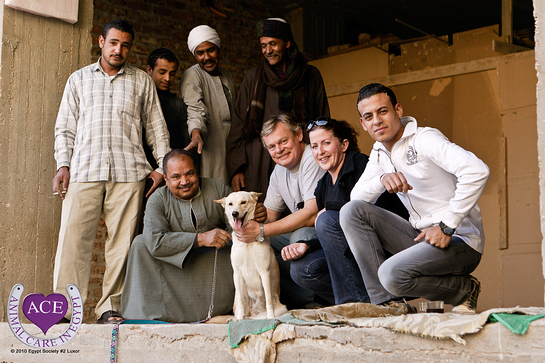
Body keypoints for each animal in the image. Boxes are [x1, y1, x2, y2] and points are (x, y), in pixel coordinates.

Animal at [215, 192, 286, 320]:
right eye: (230, 204)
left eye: (243, 202)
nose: (234, 213)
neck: (247, 242)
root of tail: (256, 311)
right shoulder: (237, 273)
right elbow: (241, 301)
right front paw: (238, 319)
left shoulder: (264, 272)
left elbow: (268, 299)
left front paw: (271, 317)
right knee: (243, 308)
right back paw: (236, 318)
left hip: (281, 308)